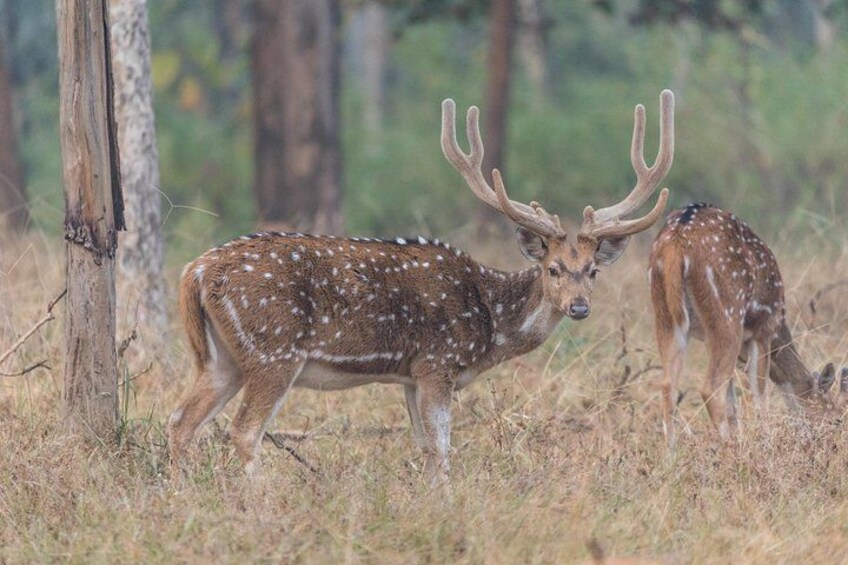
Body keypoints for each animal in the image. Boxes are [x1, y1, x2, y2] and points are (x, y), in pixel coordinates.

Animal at [167, 90, 675, 486]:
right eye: (552, 268)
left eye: (591, 270)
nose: (579, 307)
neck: (490, 322)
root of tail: (195, 271)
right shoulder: (438, 361)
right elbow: (442, 448)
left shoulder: (411, 375)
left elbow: (426, 449)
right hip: (273, 350)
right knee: (243, 430)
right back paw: (259, 502)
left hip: (223, 358)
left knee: (180, 421)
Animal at [648, 202, 843, 443]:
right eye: (836, 419)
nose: (831, 443)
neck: (780, 330)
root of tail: (675, 242)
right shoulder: (764, 330)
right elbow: (759, 394)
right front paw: (765, 443)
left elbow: (733, 402)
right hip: (728, 313)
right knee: (711, 389)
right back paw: (726, 449)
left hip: (665, 314)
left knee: (668, 386)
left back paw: (673, 453)